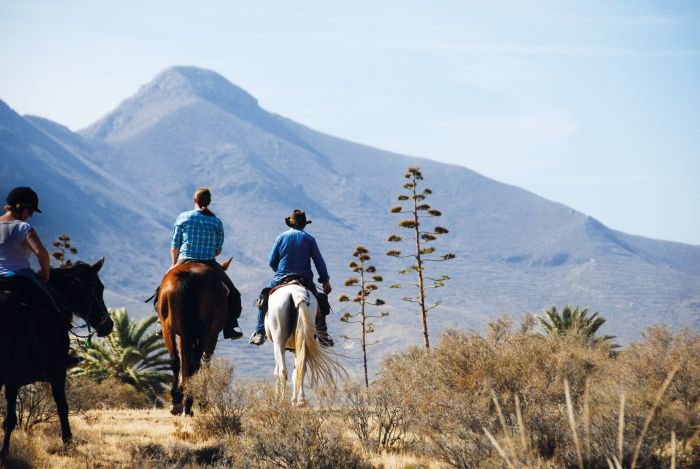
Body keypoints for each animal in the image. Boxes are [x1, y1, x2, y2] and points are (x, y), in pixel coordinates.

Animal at [0, 258, 113, 456]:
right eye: (98, 288)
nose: (109, 325)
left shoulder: (13, 380)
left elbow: (10, 419)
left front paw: (4, 452)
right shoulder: (58, 373)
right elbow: (63, 407)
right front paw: (68, 442)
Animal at [156, 258, 235, 414]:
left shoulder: (183, 336)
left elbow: (184, 362)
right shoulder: (212, 335)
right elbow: (205, 363)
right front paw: (201, 402)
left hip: (168, 328)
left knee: (176, 360)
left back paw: (177, 401)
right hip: (205, 332)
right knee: (196, 363)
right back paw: (189, 401)